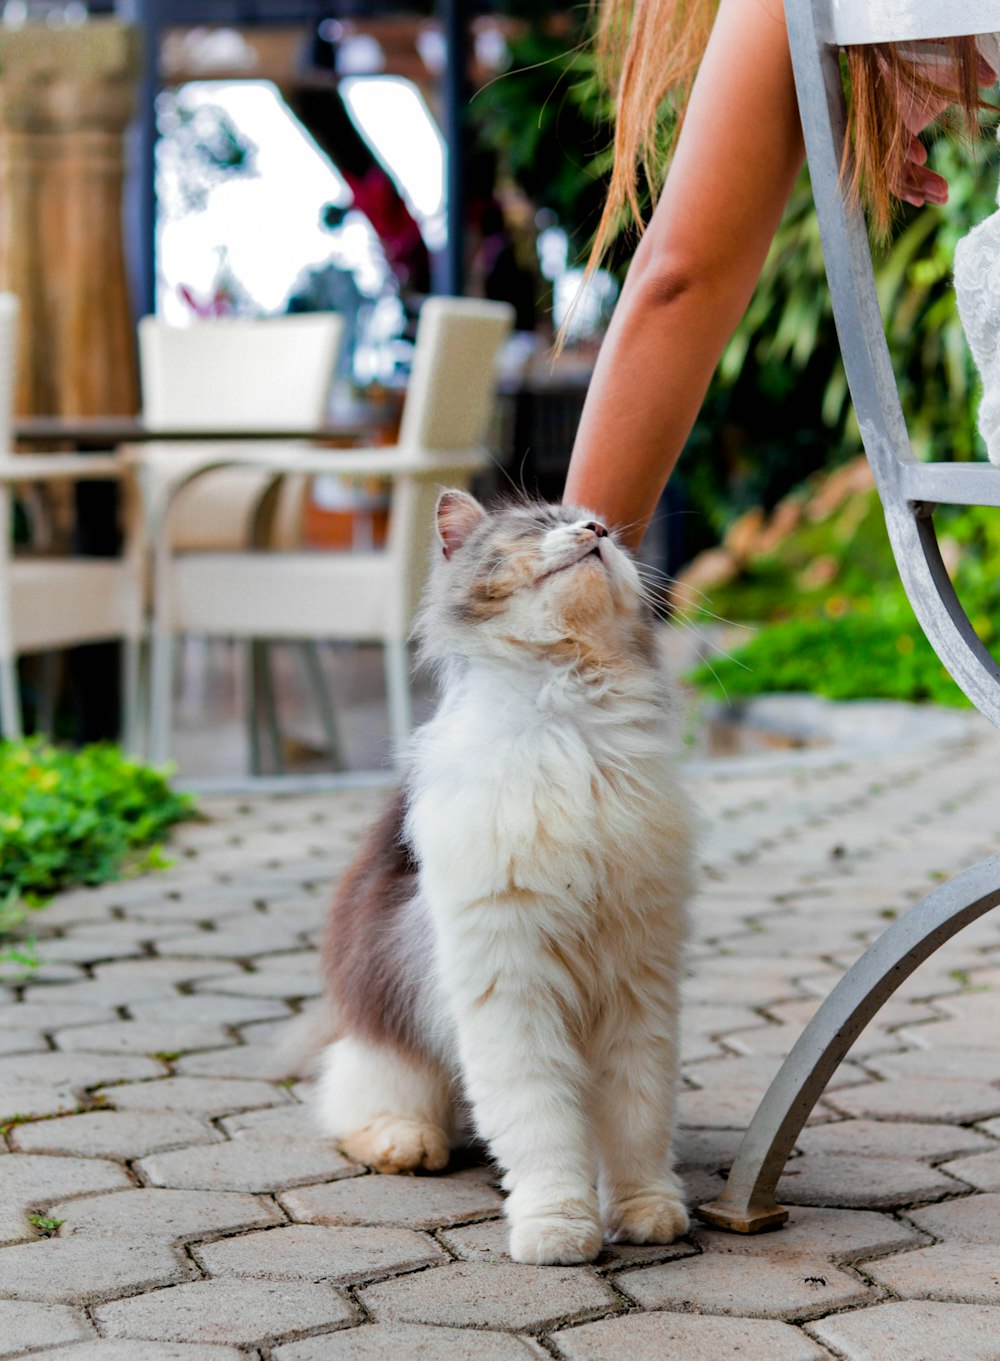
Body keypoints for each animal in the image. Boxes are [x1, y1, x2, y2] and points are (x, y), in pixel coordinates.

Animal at [314, 489, 696, 1263]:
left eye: (607, 531)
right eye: (541, 524)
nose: (596, 529)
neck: (570, 719)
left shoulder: (638, 980)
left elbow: (637, 1117)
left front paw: (646, 1210)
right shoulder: (511, 982)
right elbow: (541, 1121)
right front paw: (559, 1229)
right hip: (390, 1037)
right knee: (357, 1106)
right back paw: (408, 1144)